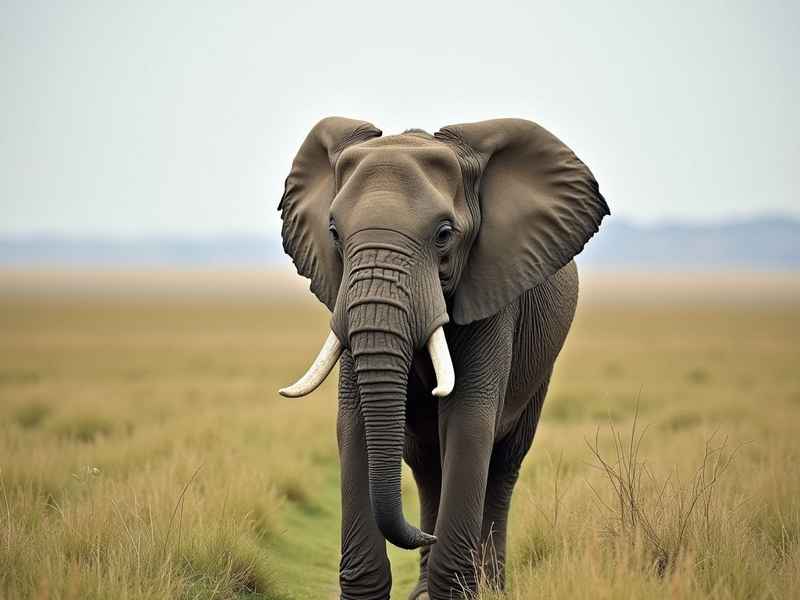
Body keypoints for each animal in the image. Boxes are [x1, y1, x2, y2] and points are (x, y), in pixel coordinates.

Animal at [277, 117, 609, 599]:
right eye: (334, 232)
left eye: (444, 235)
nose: (422, 536)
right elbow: (353, 421)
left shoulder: (492, 288)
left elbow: (469, 420)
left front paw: (458, 594)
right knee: (427, 463)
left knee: (503, 464)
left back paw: (491, 587)